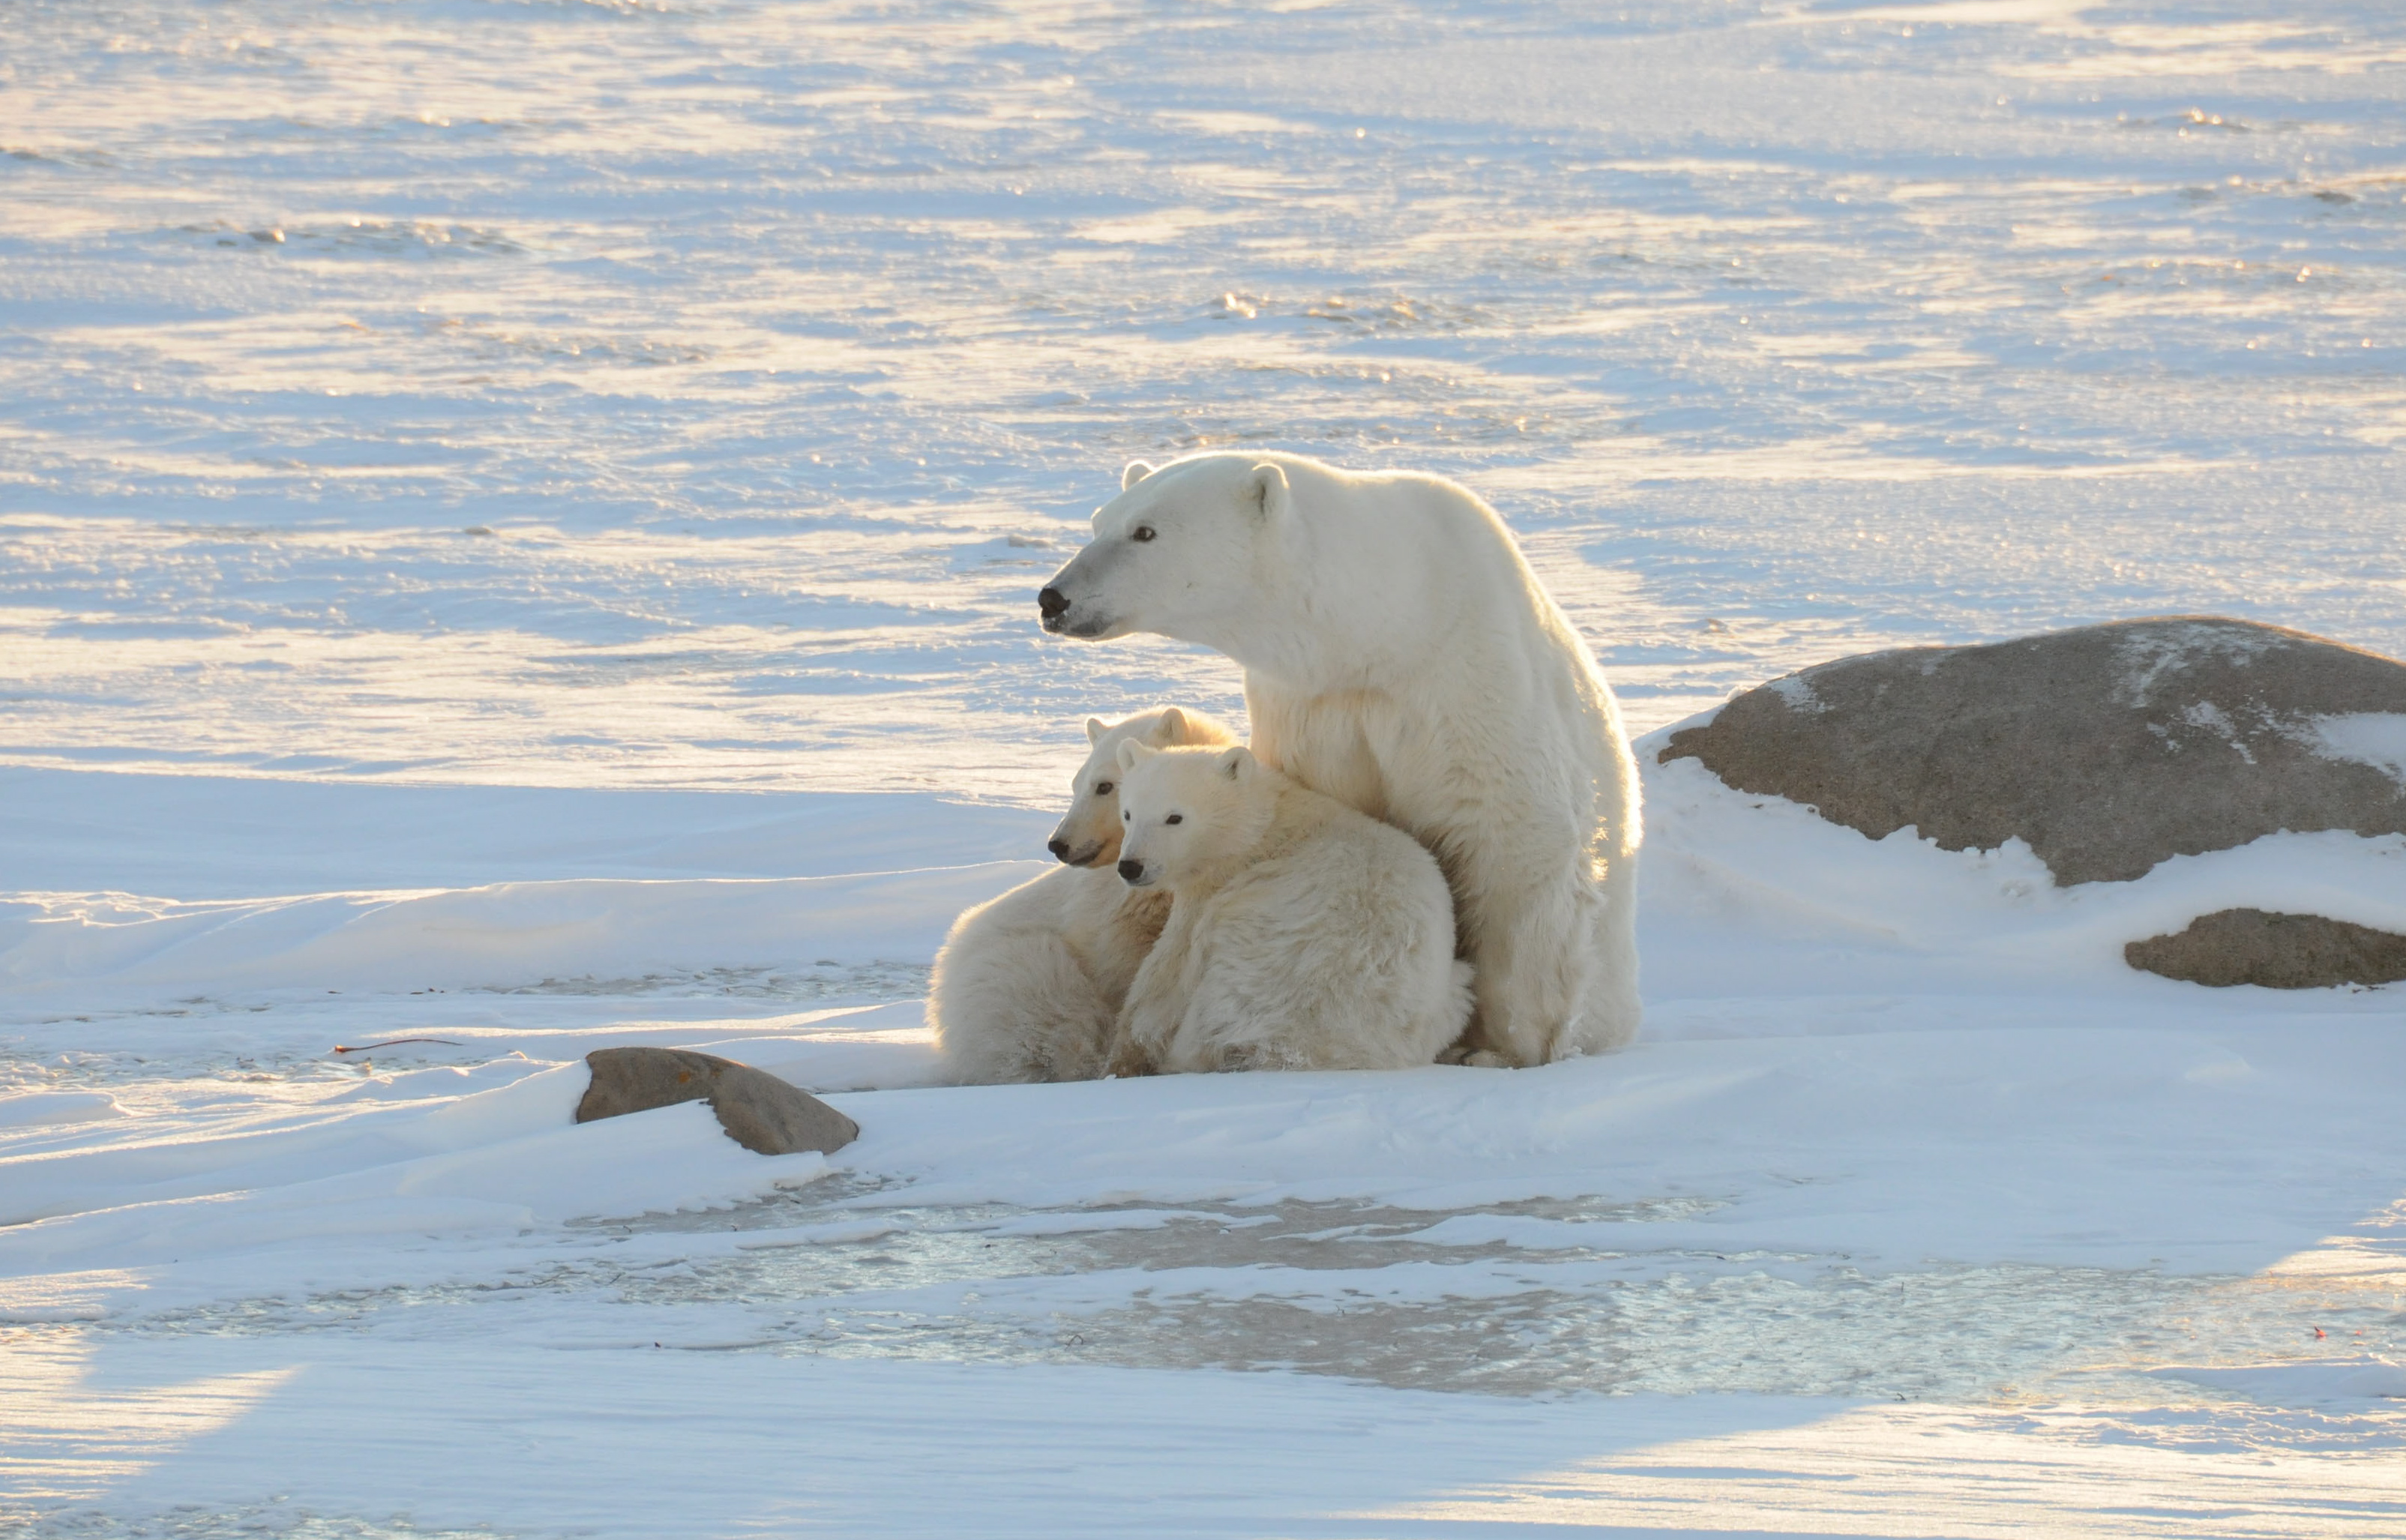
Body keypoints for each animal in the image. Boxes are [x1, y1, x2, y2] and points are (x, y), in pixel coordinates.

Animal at [1107, 740, 1473, 1075]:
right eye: (1127, 813)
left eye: (1175, 817)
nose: (1131, 867)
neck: (1266, 826)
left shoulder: (1217, 890)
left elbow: (1166, 970)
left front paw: (1125, 1049)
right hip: (1444, 1000)